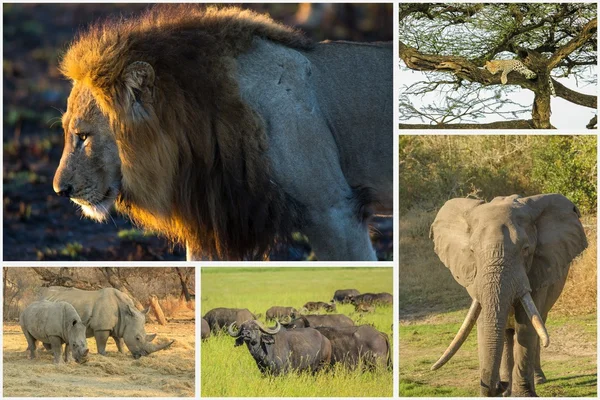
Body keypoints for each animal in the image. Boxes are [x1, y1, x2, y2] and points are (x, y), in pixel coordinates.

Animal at [428, 194, 588, 396]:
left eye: (526, 249)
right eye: (472, 251)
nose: (499, 384)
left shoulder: (537, 273)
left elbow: (526, 326)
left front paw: (524, 395)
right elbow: (484, 323)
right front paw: (504, 390)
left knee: (538, 324)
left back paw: (538, 379)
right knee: (507, 334)